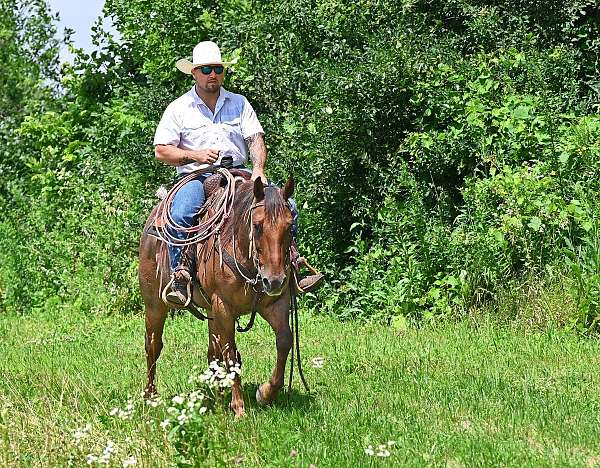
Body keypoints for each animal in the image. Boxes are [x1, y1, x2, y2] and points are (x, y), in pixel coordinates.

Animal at [137, 176, 296, 416]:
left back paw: (218, 397)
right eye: (257, 226)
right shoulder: (224, 307)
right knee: (153, 346)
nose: (274, 280)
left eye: (289, 226)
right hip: (155, 305)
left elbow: (284, 341)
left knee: (213, 353)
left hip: (211, 312)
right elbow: (231, 354)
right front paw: (239, 407)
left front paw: (265, 393)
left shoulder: (276, 304)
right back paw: (150, 396)